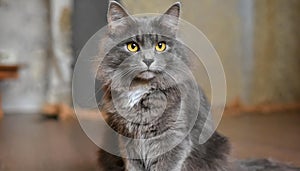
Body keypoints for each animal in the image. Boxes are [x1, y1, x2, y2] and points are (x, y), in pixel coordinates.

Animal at [96, 1, 300, 171]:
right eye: (132, 46)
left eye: (160, 46)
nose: (148, 60)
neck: (143, 90)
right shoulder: (127, 141)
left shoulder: (174, 140)